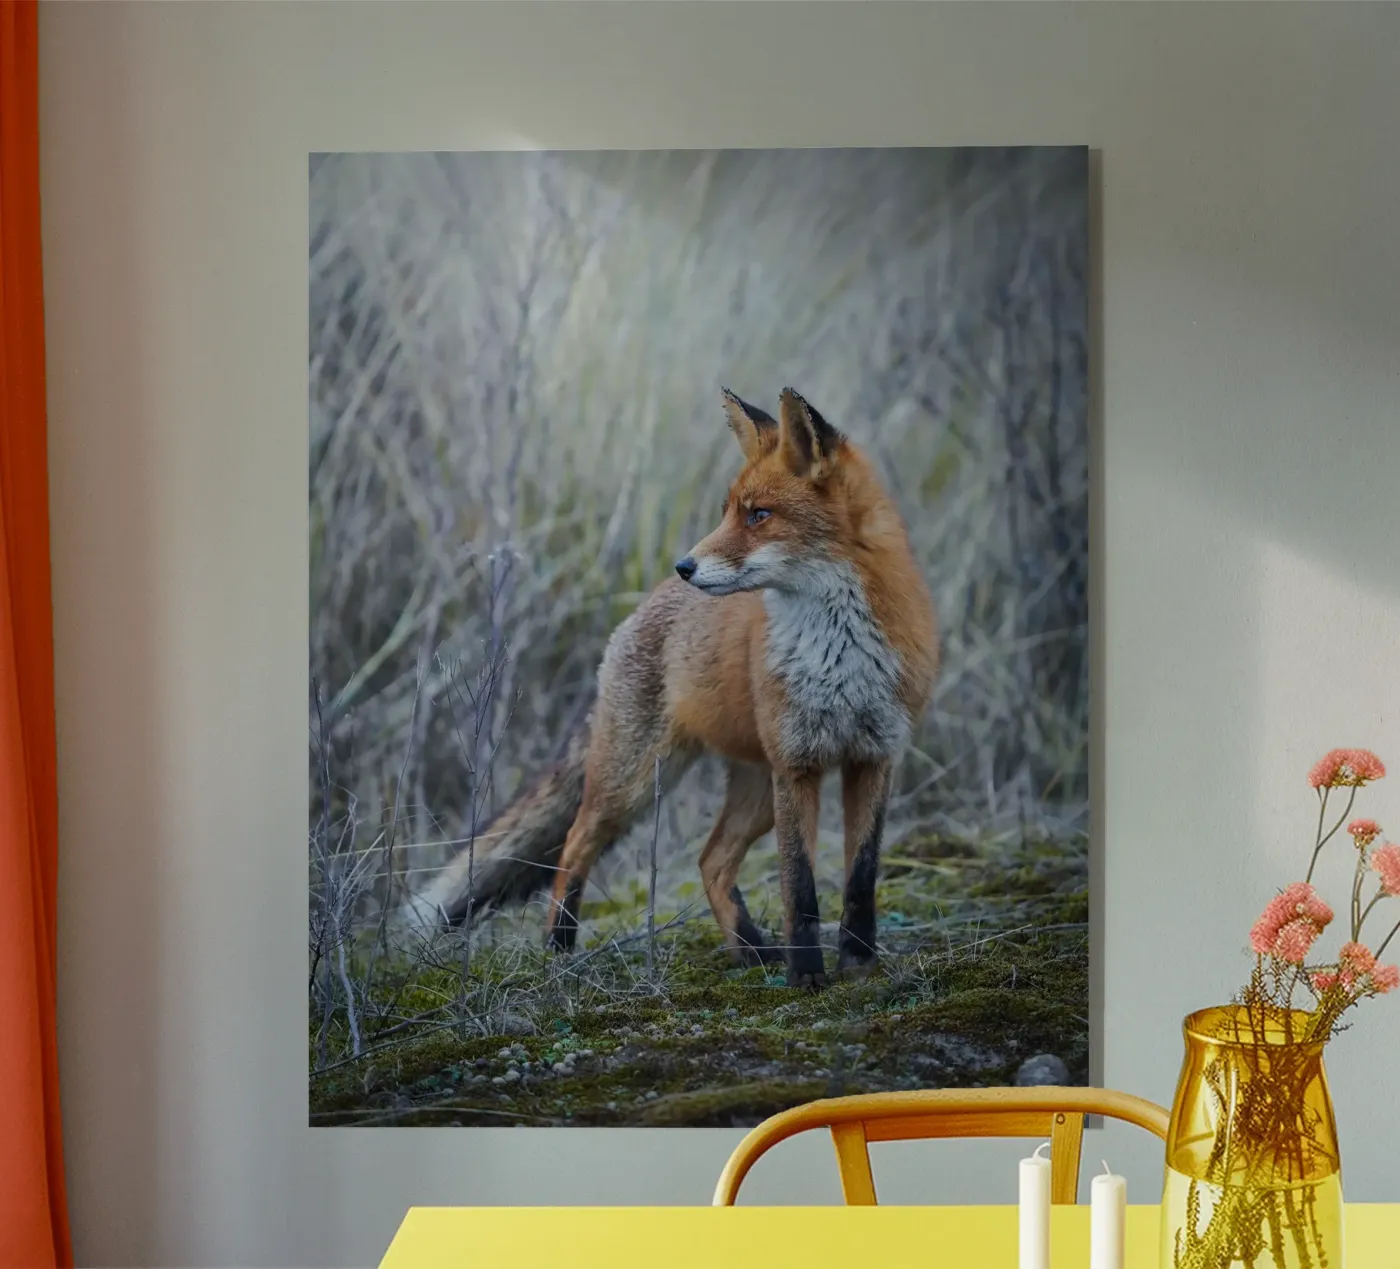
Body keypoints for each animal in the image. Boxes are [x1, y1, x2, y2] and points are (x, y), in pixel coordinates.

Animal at [413, 387, 939, 987]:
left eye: (759, 515)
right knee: (574, 846)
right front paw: (807, 977)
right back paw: (559, 949)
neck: (839, 654)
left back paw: (750, 950)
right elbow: (800, 888)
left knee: (710, 860)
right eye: (728, 511)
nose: (685, 564)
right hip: (635, 782)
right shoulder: (797, 765)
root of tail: (644, 604)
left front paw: (859, 962)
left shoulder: (874, 757)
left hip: (756, 791)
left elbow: (860, 877)